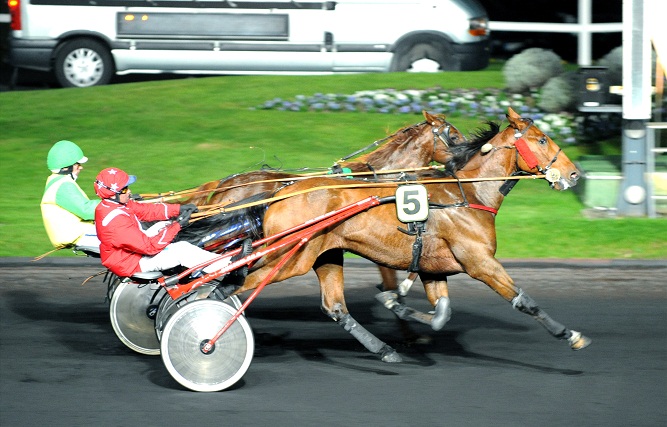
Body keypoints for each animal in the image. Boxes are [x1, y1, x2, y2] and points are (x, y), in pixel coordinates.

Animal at [234, 106, 588, 362]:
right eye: (542, 140)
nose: (574, 173)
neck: (467, 194)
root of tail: (280, 193)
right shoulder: (480, 262)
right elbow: (523, 301)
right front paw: (570, 334)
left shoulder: (434, 268)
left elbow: (440, 313)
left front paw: (396, 305)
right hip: (290, 257)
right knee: (238, 286)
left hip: (325, 254)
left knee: (334, 306)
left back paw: (382, 349)